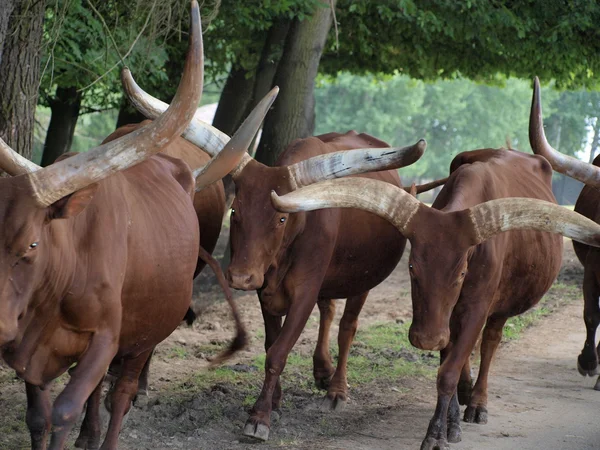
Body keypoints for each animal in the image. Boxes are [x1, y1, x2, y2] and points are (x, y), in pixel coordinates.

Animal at [0, 4, 270, 450]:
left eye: (33, 244)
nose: (0, 326)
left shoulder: (104, 339)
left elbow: (66, 410)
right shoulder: (29, 349)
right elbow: (39, 417)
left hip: (148, 329)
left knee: (121, 394)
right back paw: (90, 435)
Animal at [272, 148, 600, 446]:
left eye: (462, 272)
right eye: (412, 267)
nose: (426, 340)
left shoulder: (475, 309)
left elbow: (448, 372)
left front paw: (435, 434)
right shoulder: (445, 318)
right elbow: (449, 362)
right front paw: (449, 423)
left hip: (499, 309)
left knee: (490, 343)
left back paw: (478, 402)